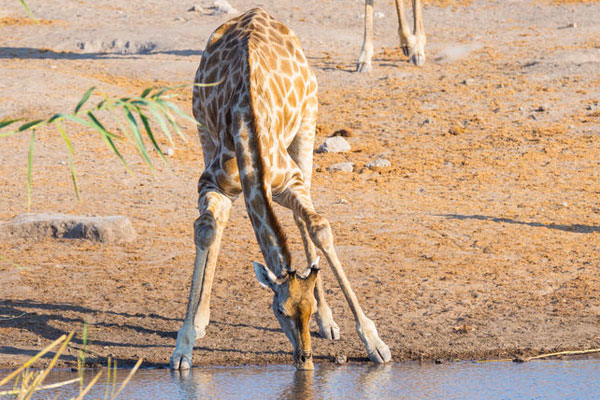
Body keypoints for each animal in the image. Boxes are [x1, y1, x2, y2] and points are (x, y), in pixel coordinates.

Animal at [170, 7, 394, 370]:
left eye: (308, 310)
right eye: (279, 310)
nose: (305, 360)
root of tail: (256, 12)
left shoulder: (291, 180)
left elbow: (319, 228)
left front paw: (374, 342)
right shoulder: (212, 182)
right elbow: (206, 229)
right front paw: (184, 345)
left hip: (307, 124)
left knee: (304, 218)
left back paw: (330, 323)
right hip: (203, 131)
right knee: (222, 219)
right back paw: (202, 318)